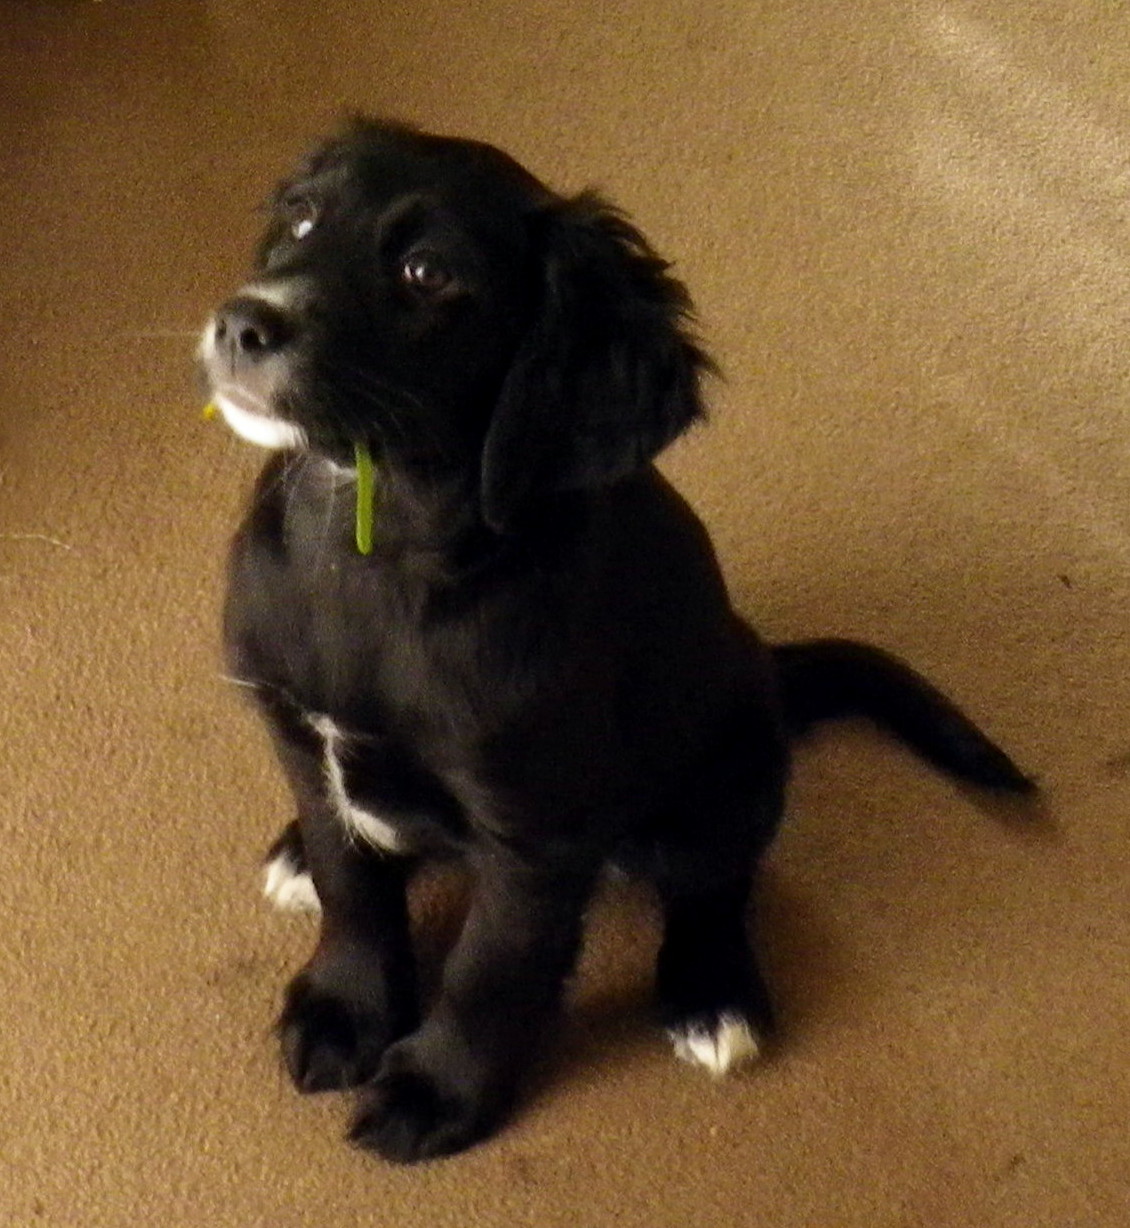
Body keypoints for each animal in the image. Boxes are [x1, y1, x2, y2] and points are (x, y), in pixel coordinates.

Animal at [198, 118, 1034, 1164]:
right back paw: (298, 857)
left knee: (718, 881)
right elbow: (356, 884)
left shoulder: (535, 835)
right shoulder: (296, 731)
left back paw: (715, 995)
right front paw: (346, 1006)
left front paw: (437, 1091)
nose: (242, 323)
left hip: (729, 770)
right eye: (302, 219)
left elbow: (491, 971)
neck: (376, 551)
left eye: (429, 273)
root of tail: (766, 660)